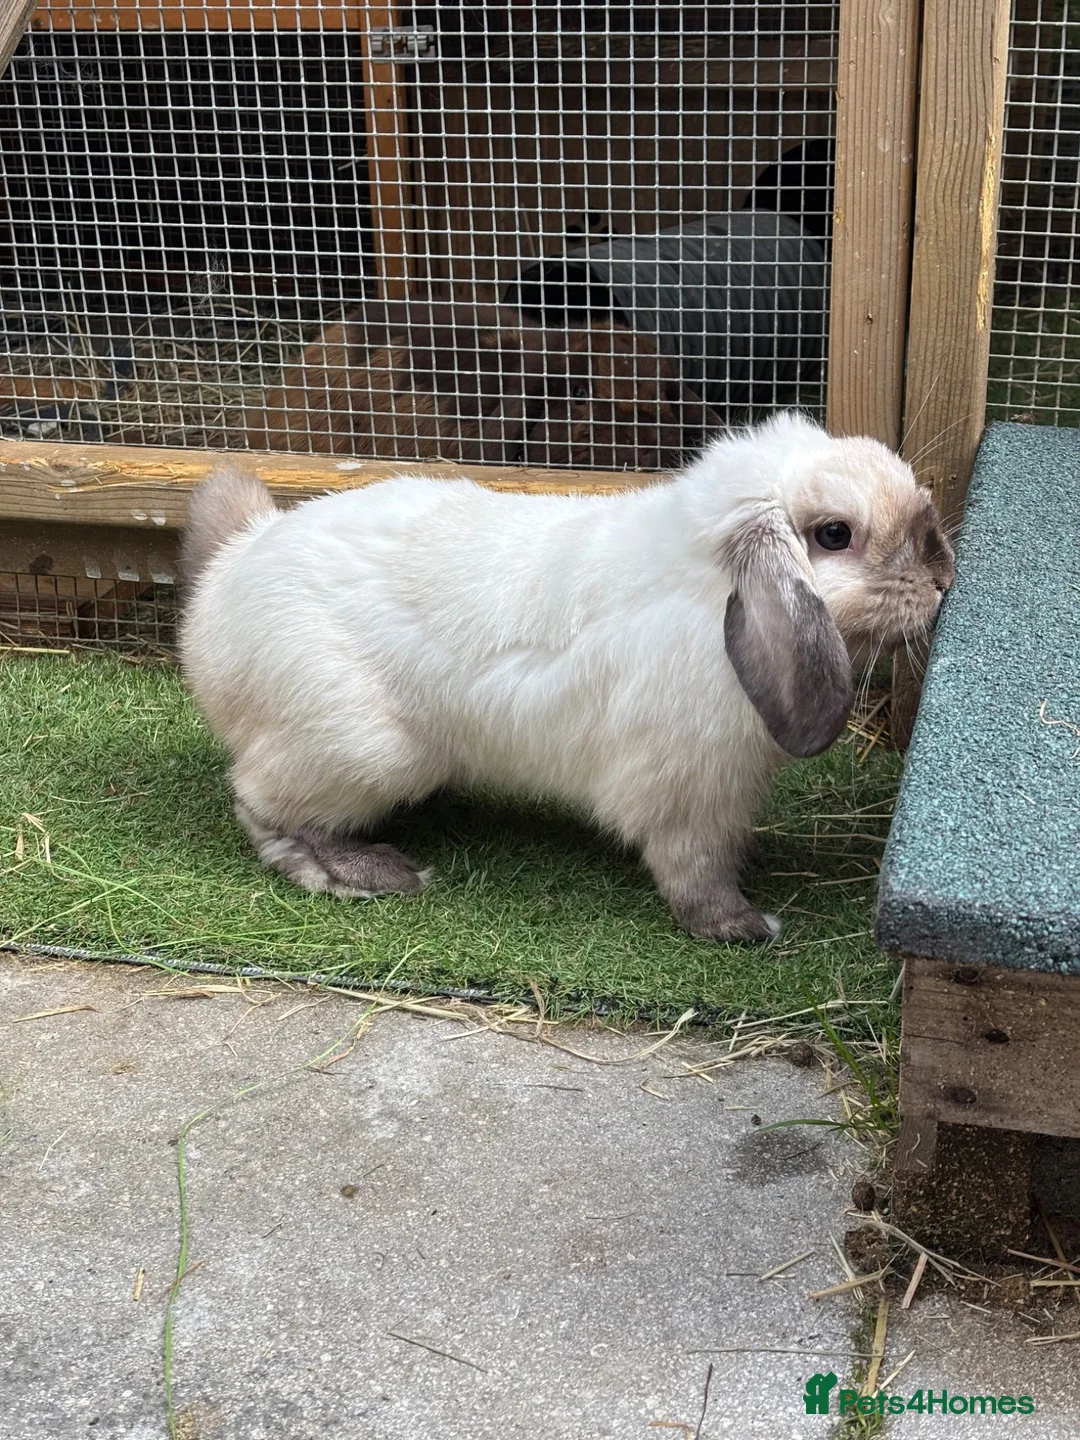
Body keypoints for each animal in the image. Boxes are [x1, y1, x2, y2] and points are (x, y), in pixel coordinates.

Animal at [180, 412, 954, 943]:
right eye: (834, 535)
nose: (944, 577)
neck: (706, 592)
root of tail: (223, 585)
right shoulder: (685, 794)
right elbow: (693, 869)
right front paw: (740, 925)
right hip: (366, 748)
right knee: (259, 805)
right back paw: (364, 873)